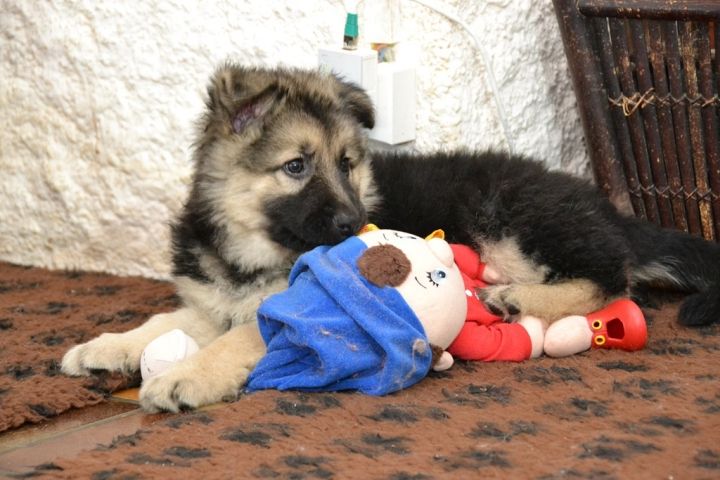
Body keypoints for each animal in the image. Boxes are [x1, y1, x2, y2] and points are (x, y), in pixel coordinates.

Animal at [61, 63, 720, 412]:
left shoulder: (281, 313)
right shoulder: (210, 301)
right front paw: (105, 347)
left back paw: (515, 298)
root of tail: (607, 208)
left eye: (347, 164)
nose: (354, 227)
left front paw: (184, 378)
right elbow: (163, 322)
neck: (252, 250)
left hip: (513, 216)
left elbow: (238, 339)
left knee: (614, 281)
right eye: (296, 167)